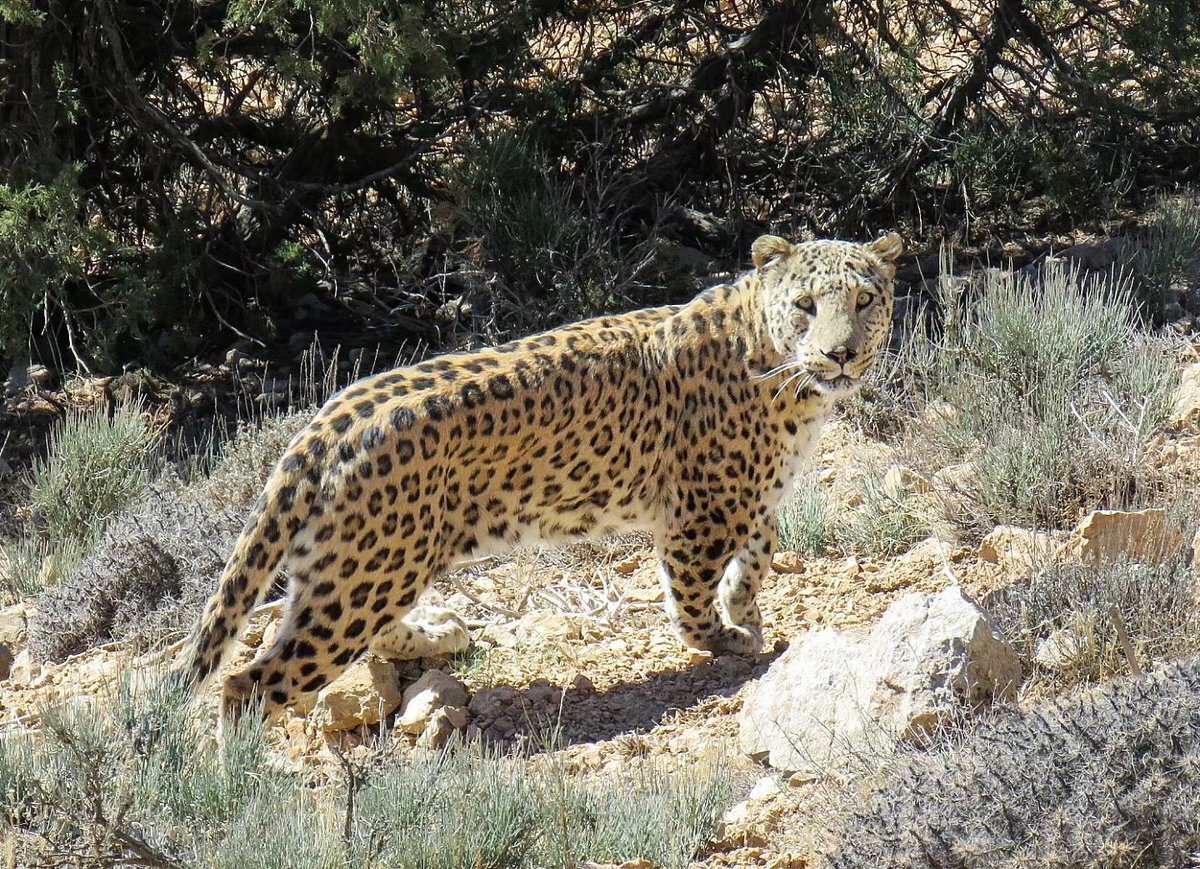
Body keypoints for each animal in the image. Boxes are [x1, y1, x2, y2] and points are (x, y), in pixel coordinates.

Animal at [182, 230, 902, 724]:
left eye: (865, 299)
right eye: (806, 305)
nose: (840, 353)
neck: (785, 375)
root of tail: (320, 428)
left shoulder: (751, 498)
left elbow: (758, 554)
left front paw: (746, 613)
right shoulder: (699, 514)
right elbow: (692, 597)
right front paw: (726, 637)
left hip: (367, 570)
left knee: (342, 631)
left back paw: (438, 634)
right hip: (363, 576)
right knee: (249, 683)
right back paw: (241, 782)